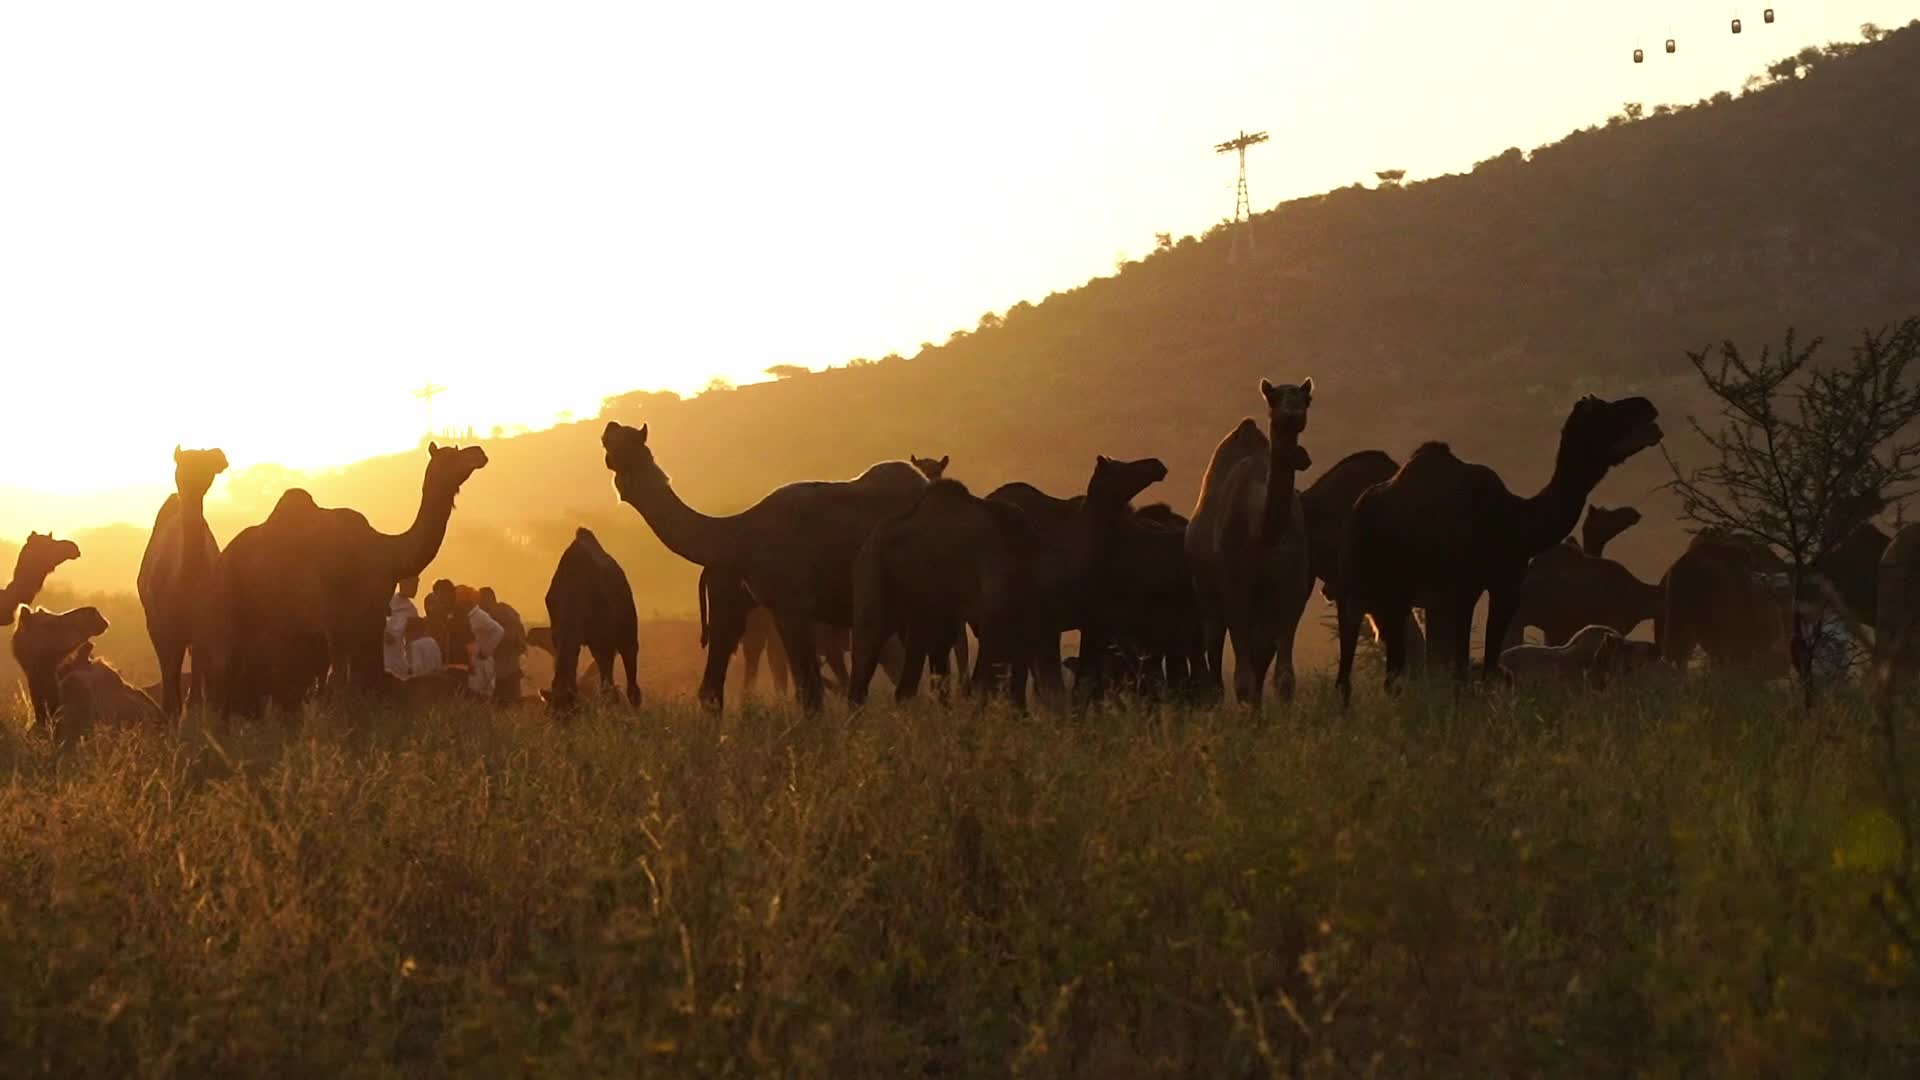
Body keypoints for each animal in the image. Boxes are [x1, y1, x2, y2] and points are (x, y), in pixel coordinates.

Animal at [137, 446, 229, 716]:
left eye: (206, 466)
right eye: (183, 465)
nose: (190, 486)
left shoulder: (203, 624)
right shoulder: (162, 624)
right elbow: (169, 676)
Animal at [206, 443, 489, 716]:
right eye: (450, 456)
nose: (479, 452)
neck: (387, 554)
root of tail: (224, 557)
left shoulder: (373, 615)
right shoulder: (335, 621)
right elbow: (341, 681)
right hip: (230, 605)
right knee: (227, 667)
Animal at [602, 422, 929, 711]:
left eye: (626, 444)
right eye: (614, 440)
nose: (610, 425)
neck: (740, 534)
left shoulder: (792, 605)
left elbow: (810, 692)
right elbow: (712, 691)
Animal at [1198, 378, 1315, 707]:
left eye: (1306, 398)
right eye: (1273, 398)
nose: (1292, 413)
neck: (1263, 535)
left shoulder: (1292, 592)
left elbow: (1284, 678)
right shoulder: (1234, 589)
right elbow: (1243, 679)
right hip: (1208, 595)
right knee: (1215, 663)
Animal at [1336, 394, 1662, 700]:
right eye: (1609, 411)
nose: (1648, 406)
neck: (1520, 520)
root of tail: (1360, 511)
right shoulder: (1495, 584)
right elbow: (1483, 664)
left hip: (1374, 590)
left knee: (1368, 671)